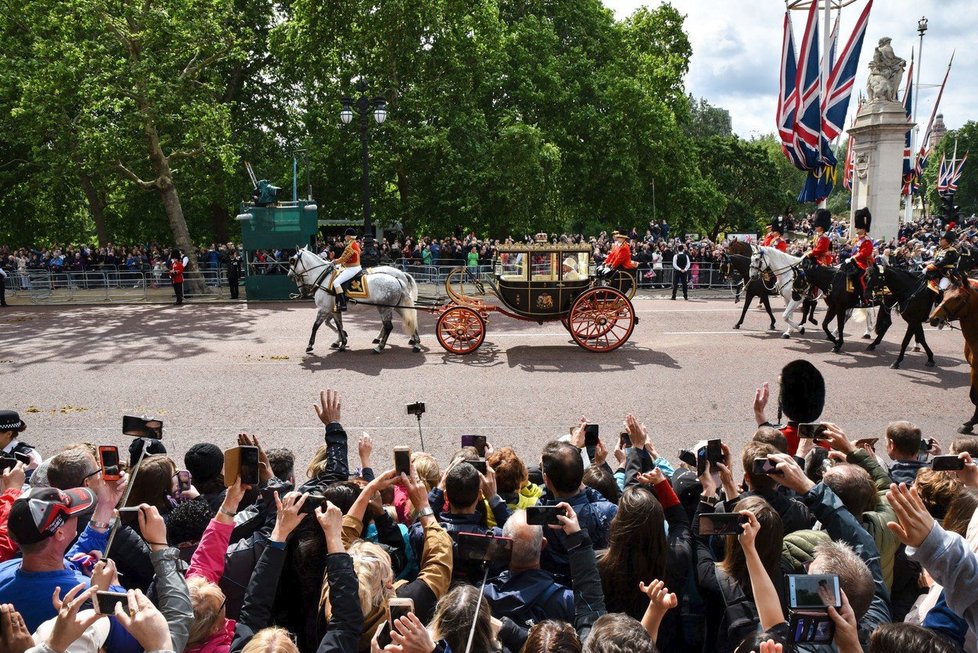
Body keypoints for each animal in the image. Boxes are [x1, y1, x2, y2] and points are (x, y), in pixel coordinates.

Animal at [284, 246, 418, 356]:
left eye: (292, 260)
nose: (289, 275)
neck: (325, 280)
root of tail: (397, 278)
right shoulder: (334, 310)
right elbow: (338, 325)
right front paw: (342, 342)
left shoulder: (324, 309)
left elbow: (316, 326)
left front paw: (310, 345)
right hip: (395, 307)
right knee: (408, 320)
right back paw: (415, 343)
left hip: (384, 308)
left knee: (389, 326)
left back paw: (379, 347)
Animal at [928, 278, 976, 430]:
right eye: (945, 294)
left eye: (958, 298)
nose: (934, 319)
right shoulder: (974, 368)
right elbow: (973, 395)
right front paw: (971, 423)